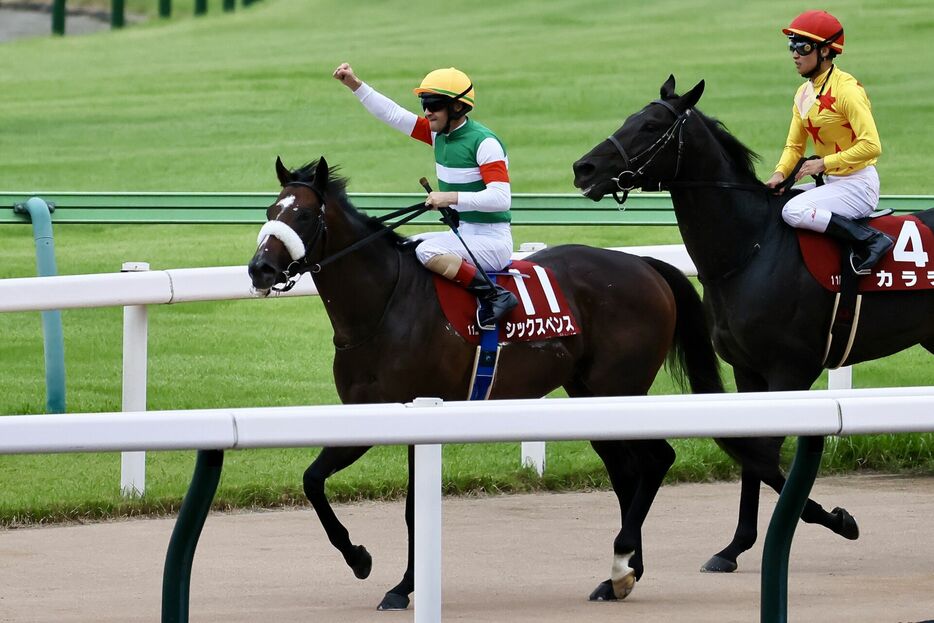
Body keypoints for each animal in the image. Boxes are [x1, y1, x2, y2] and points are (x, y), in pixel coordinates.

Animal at [252, 157, 736, 608]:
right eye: (271, 210)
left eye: (304, 215)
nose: (260, 269)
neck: (384, 305)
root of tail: (644, 264)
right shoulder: (370, 414)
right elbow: (315, 481)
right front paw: (375, 569)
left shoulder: (403, 412)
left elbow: (399, 506)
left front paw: (381, 573)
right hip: (589, 393)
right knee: (627, 474)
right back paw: (623, 573)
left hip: (618, 387)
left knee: (656, 460)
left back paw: (622, 563)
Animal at [576, 77, 934, 576]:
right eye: (630, 117)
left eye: (650, 125)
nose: (583, 168)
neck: (752, 249)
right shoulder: (748, 371)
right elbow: (753, 456)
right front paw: (733, 548)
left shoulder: (790, 370)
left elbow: (765, 456)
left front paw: (840, 520)